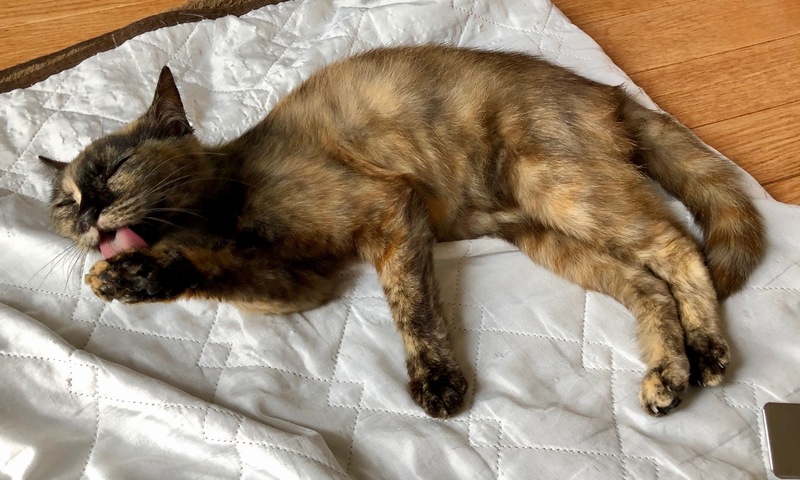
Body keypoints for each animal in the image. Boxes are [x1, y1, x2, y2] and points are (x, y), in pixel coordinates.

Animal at [40, 45, 764, 418]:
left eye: (115, 171)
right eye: (62, 202)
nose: (87, 215)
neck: (225, 204)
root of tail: (607, 92)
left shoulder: (388, 210)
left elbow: (412, 306)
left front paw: (437, 380)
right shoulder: (300, 283)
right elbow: (213, 273)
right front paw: (136, 276)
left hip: (558, 187)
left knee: (679, 246)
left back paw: (708, 350)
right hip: (550, 236)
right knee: (648, 283)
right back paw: (670, 370)